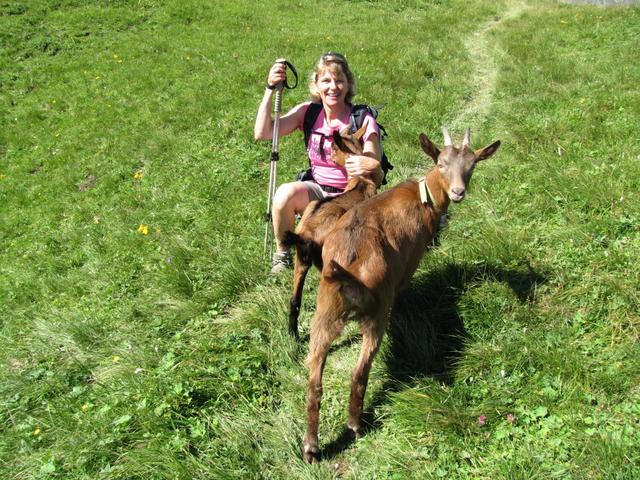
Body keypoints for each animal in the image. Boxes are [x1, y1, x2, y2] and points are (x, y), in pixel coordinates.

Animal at [284, 122, 378, 340]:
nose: (330, 158)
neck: (360, 180)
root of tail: (305, 233)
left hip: (302, 260)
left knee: (294, 300)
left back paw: (293, 335)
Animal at [302, 126, 502, 462]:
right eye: (441, 163)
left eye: (472, 164)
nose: (459, 192)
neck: (424, 197)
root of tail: (346, 269)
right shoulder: (410, 262)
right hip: (376, 311)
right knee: (359, 371)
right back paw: (355, 425)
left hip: (325, 311)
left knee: (314, 378)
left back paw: (311, 447)